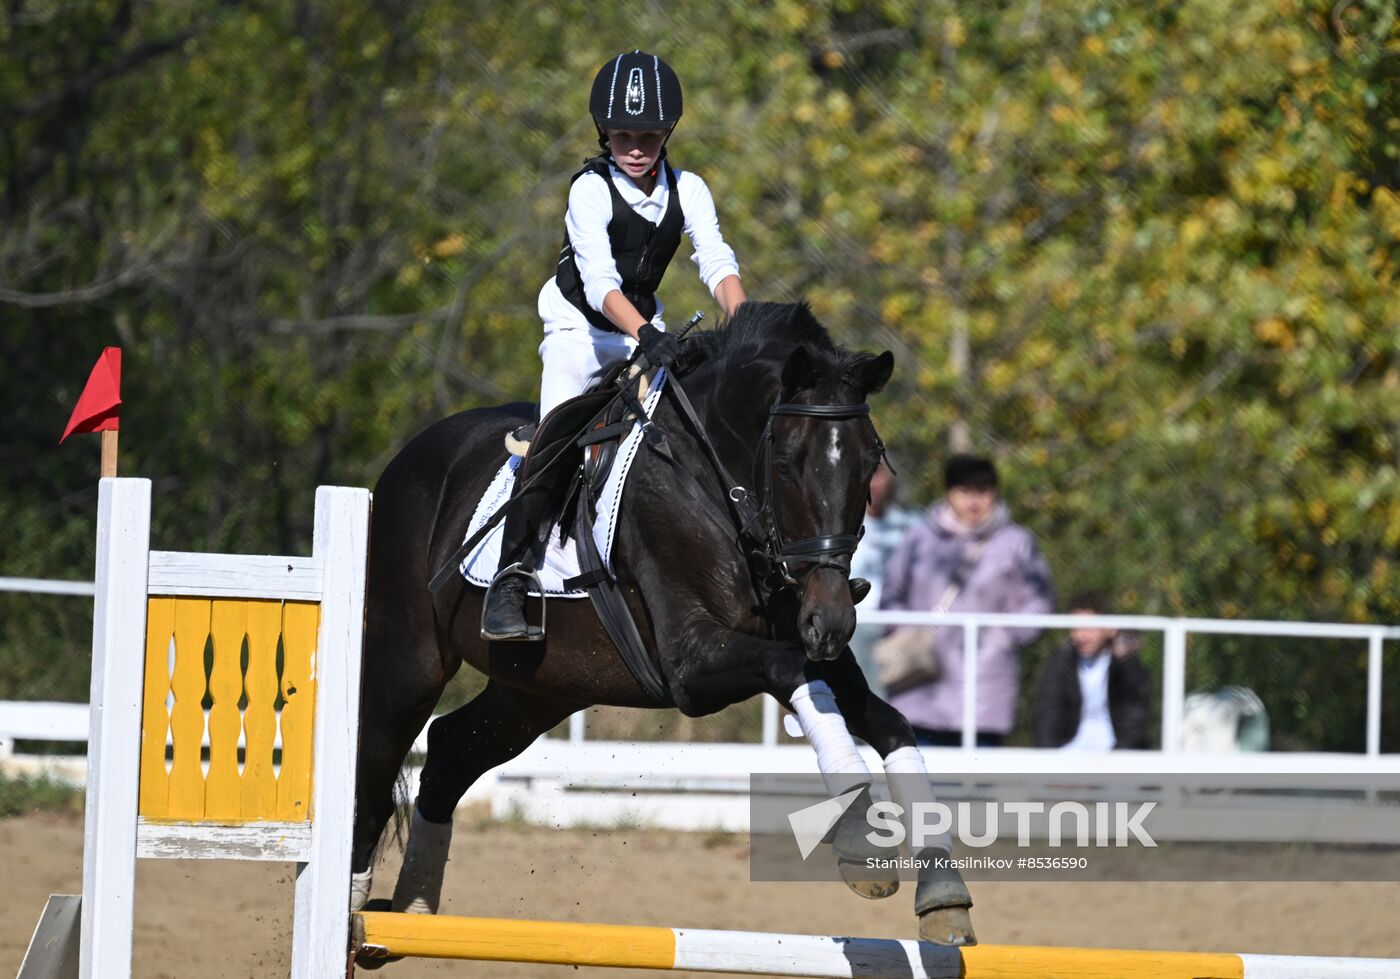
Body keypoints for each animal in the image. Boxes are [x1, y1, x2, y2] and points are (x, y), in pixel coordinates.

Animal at [350, 302, 974, 946]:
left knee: (450, 751)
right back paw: (354, 909)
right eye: (784, 463)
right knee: (375, 764)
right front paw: (854, 832)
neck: (717, 483)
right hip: (408, 661)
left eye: (870, 462)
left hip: (538, 689)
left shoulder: (804, 650)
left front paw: (942, 893)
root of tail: (408, 458)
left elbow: (889, 722)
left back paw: (412, 910)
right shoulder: (692, 665)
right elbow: (790, 669)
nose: (830, 620)